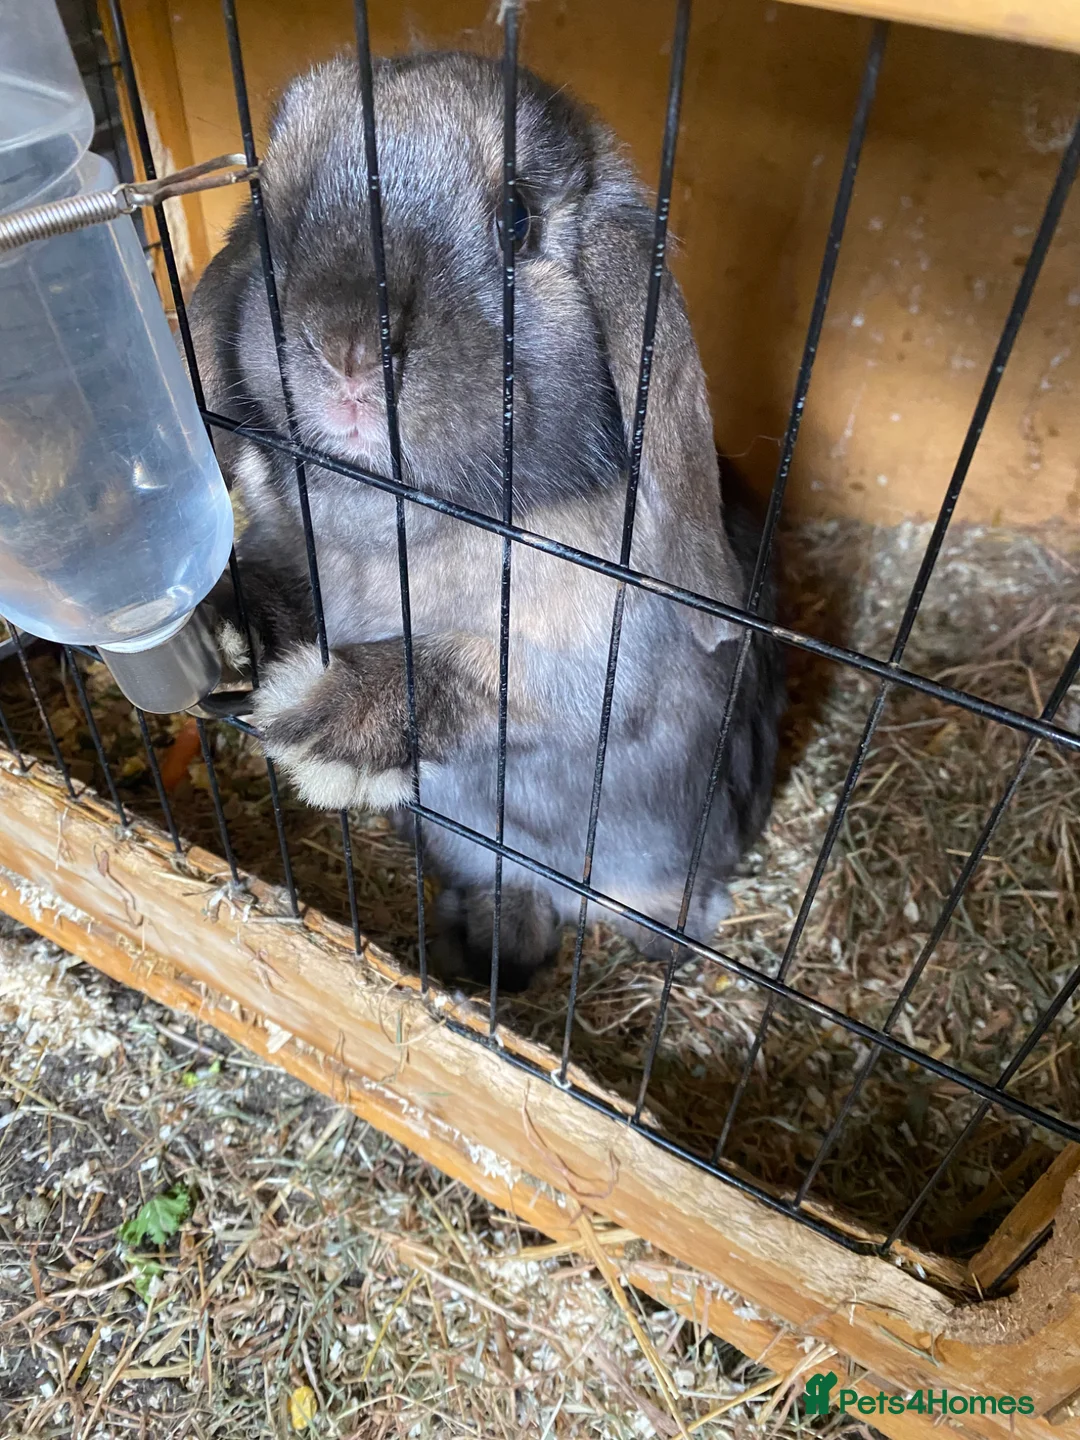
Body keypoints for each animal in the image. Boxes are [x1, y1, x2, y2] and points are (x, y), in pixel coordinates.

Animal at [190, 50, 785, 992]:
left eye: (517, 219)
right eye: (272, 200)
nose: (344, 347)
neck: (398, 524)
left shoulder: (581, 671)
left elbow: (461, 678)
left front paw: (312, 722)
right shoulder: (287, 552)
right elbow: (272, 584)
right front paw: (229, 633)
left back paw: (662, 941)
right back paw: (497, 943)